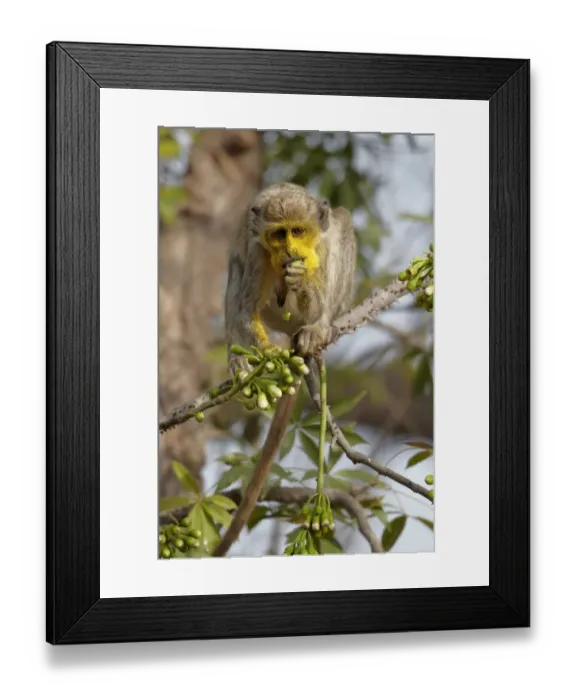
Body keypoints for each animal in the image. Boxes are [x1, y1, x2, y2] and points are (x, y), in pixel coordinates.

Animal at [212, 182, 357, 557]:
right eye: (280, 234)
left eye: (298, 232)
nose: (289, 249)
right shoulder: (257, 251)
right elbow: (245, 308)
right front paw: (261, 356)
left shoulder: (318, 243)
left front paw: (307, 292)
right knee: (236, 271)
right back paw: (239, 360)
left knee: (343, 222)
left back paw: (315, 328)